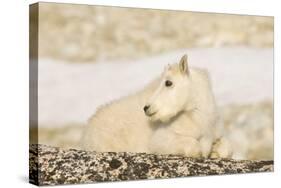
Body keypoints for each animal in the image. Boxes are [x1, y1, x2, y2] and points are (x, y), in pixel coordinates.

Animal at [80, 54, 231, 159]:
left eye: (168, 82)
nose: (147, 107)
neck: (200, 117)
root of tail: (87, 130)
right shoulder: (161, 136)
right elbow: (182, 143)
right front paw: (202, 151)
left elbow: (227, 148)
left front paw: (214, 152)